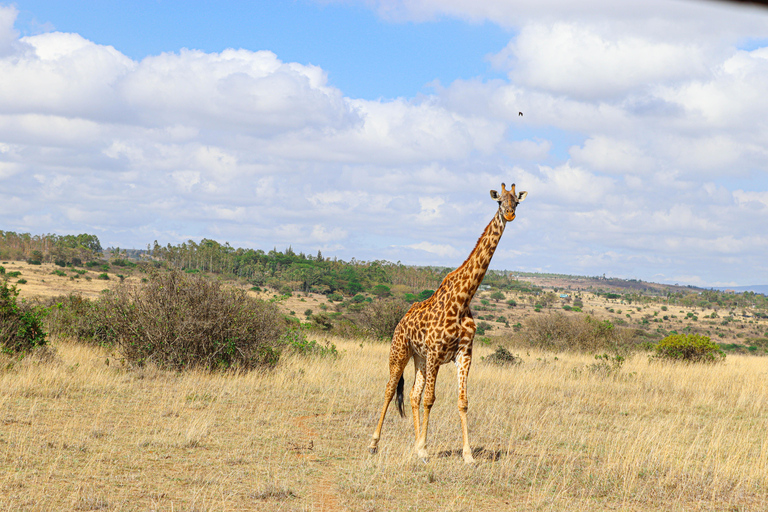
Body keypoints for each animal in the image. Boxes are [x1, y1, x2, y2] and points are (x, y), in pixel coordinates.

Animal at [368, 182, 528, 462]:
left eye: (516, 202)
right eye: (499, 201)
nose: (509, 215)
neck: (463, 299)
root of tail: (401, 320)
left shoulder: (463, 354)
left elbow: (462, 402)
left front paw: (467, 455)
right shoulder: (436, 352)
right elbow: (430, 399)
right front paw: (424, 449)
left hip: (419, 359)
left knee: (413, 394)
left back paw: (414, 443)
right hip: (400, 352)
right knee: (390, 389)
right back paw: (375, 443)